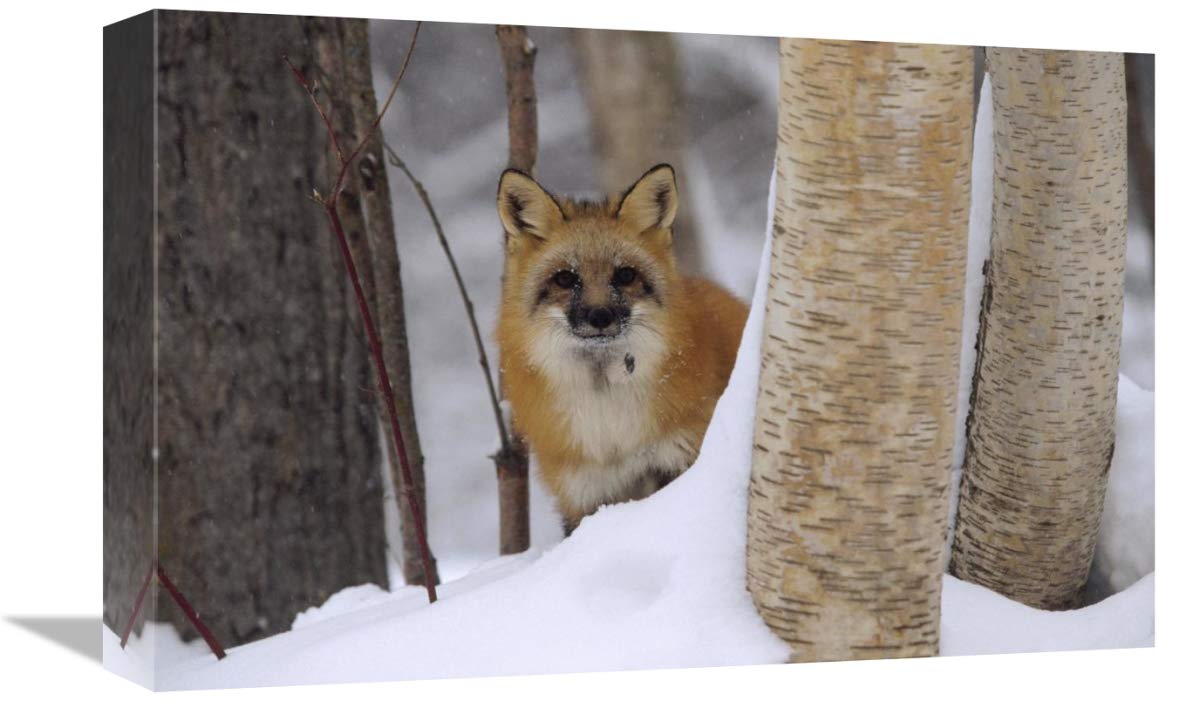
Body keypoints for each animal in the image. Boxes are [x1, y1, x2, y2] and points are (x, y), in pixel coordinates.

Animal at [495, 163, 749, 534]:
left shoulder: (678, 458)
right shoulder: (583, 494)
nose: (600, 316)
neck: (611, 431)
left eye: (625, 275)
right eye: (565, 279)